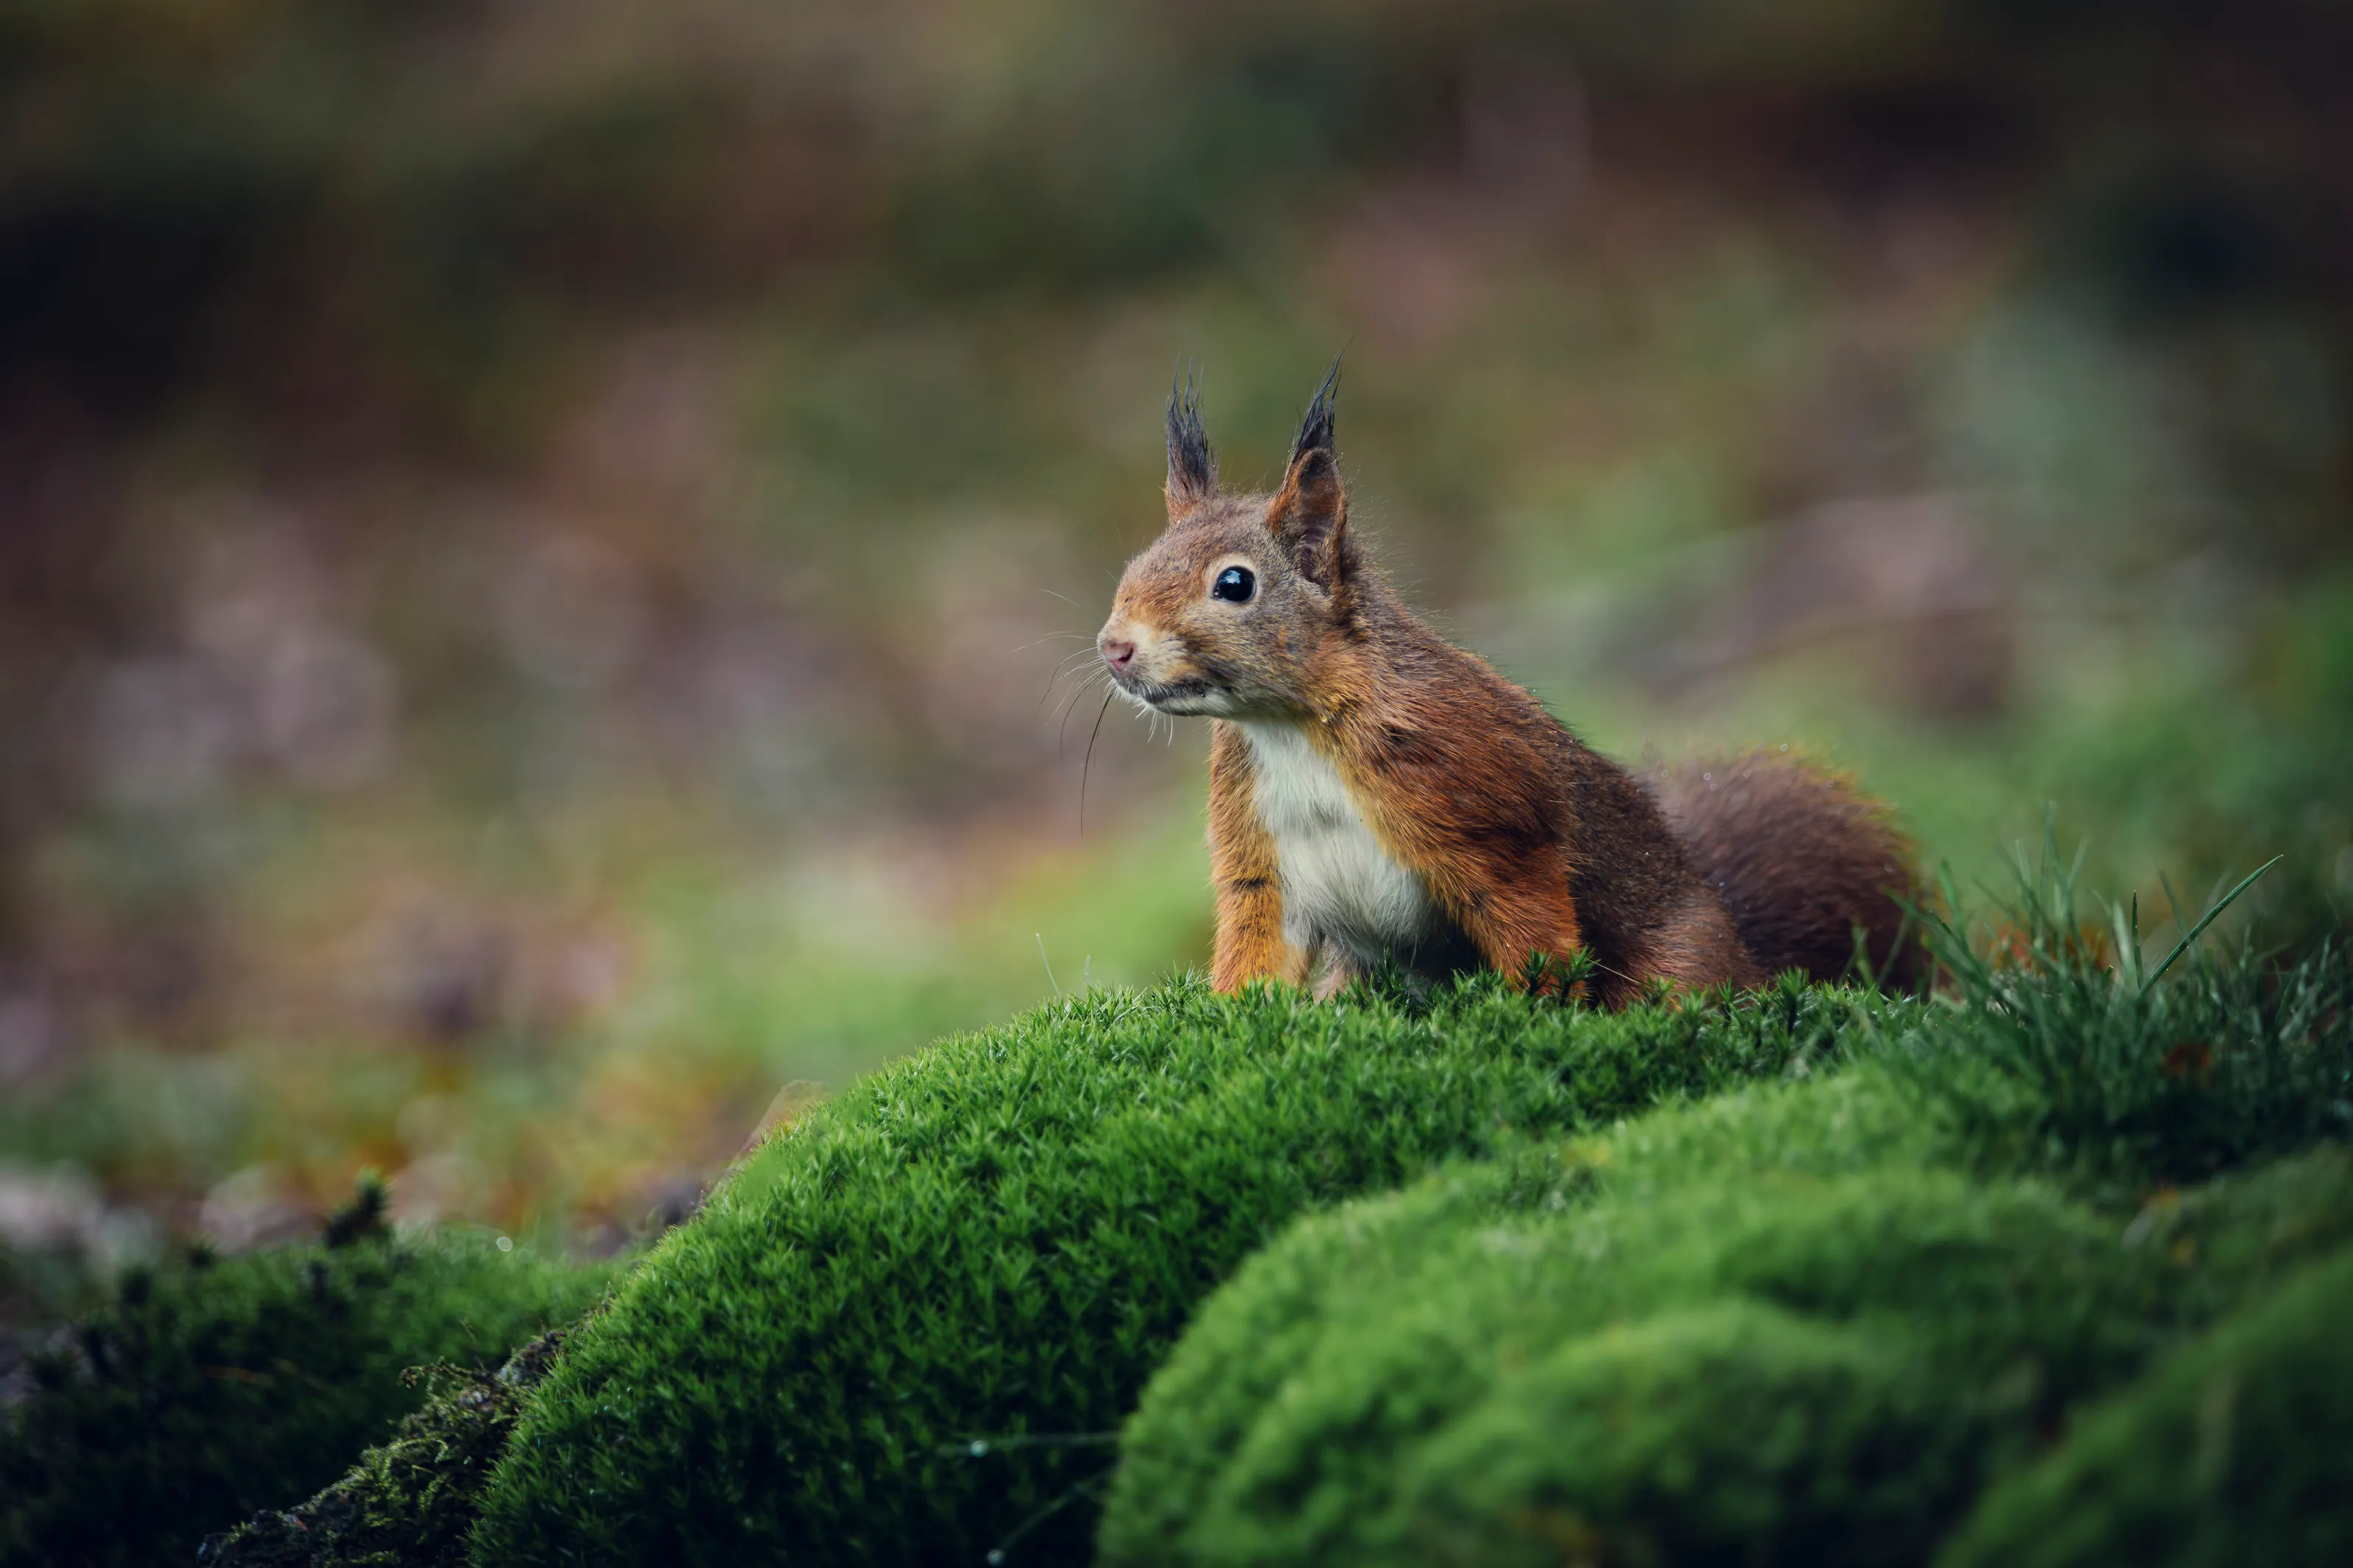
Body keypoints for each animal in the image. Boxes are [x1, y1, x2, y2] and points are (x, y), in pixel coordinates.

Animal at [1095, 362, 1924, 1007]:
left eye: (1234, 584)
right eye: (1135, 562)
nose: (1114, 648)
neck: (1293, 729)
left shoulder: (1485, 812)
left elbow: (1532, 927)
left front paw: (1534, 1012)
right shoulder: (1257, 861)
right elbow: (1255, 950)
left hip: (1679, 960)